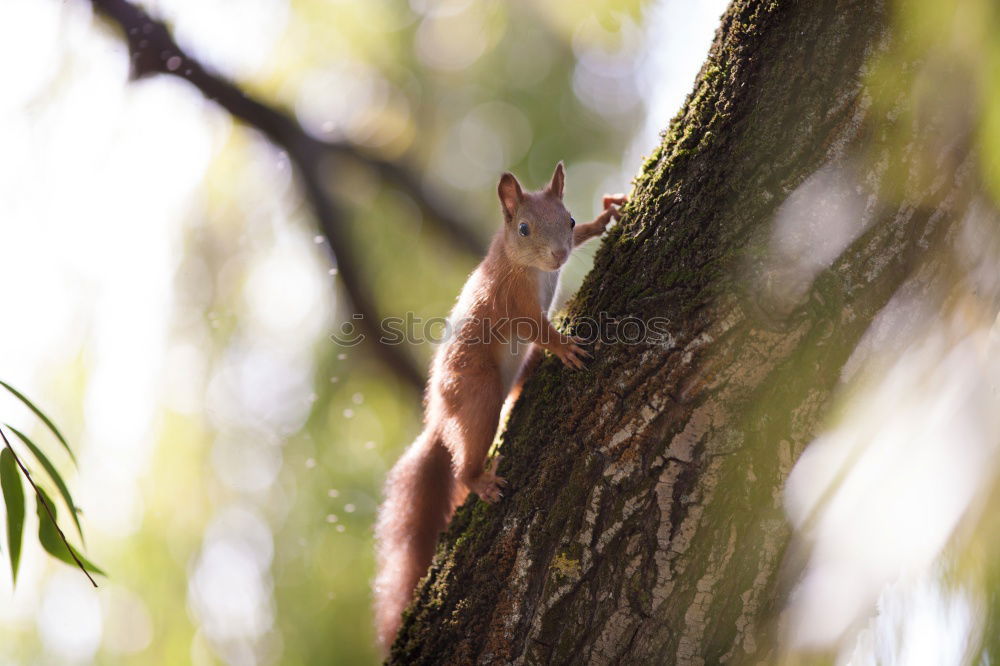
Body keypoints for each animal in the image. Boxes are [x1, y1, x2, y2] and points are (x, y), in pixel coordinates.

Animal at [376, 162, 624, 652]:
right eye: (524, 228)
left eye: (569, 220)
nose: (559, 255)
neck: (520, 262)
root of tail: (437, 418)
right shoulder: (514, 302)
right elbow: (536, 329)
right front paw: (564, 347)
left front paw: (604, 218)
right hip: (477, 397)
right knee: (465, 458)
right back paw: (479, 480)